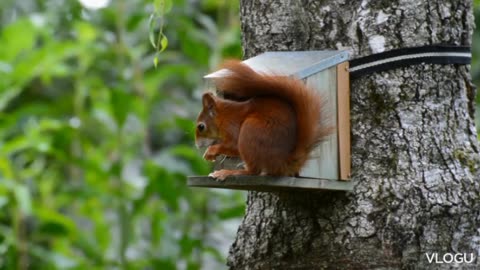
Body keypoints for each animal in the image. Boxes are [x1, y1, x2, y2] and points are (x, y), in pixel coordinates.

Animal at [195, 60, 330, 180]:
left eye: (201, 126)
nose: (197, 145)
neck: (223, 116)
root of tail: (283, 163)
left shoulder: (231, 125)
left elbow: (233, 145)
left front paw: (211, 151)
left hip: (251, 130)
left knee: (253, 171)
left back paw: (229, 172)